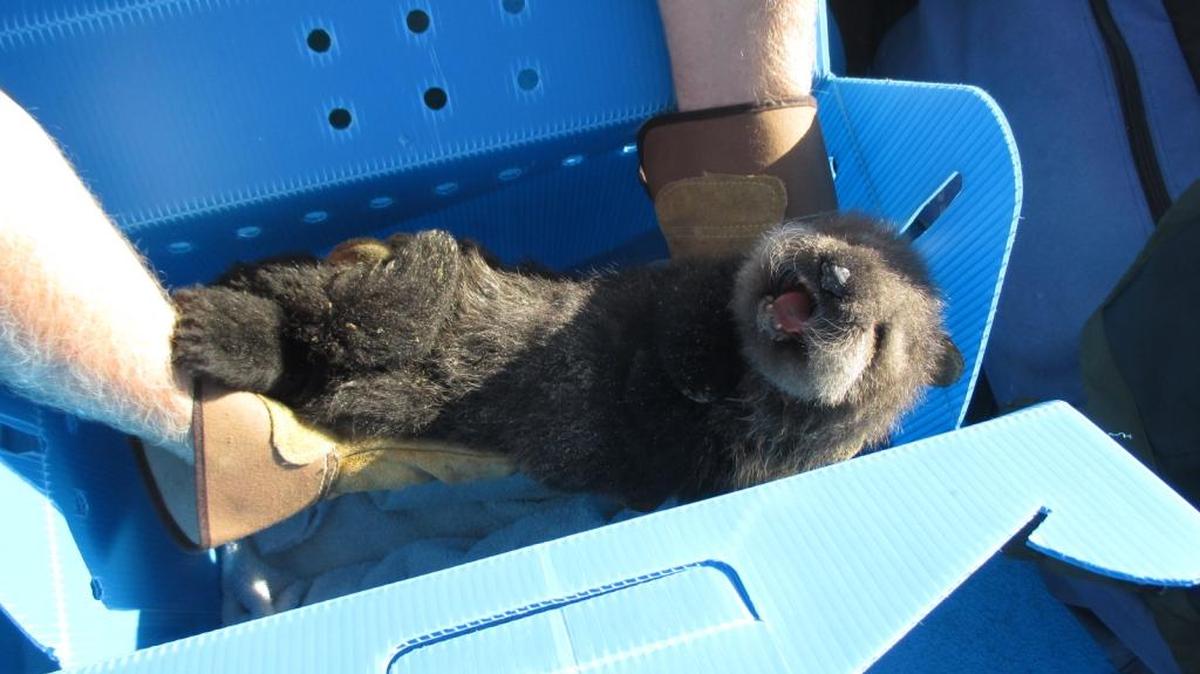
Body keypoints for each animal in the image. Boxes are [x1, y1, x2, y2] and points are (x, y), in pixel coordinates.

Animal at [171, 214, 963, 507]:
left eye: (881, 338)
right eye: (853, 234)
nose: (836, 274)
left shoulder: (714, 468)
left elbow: (654, 432)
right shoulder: (673, 287)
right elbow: (684, 311)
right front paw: (696, 362)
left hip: (352, 368)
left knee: (340, 339)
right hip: (323, 288)